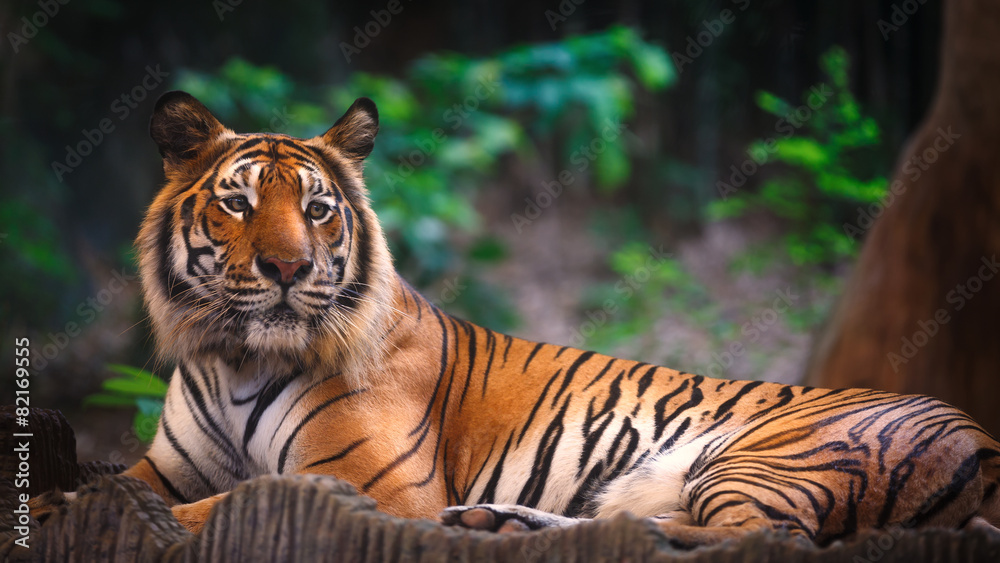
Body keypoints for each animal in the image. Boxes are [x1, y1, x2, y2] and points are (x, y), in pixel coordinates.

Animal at [103, 90, 1000, 546]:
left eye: (319, 210)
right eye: (238, 203)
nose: (287, 270)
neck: (236, 356)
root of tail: (985, 437)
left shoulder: (372, 486)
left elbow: (221, 500)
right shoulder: (167, 466)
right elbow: (125, 484)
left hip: (768, 459)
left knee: (757, 539)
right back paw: (498, 518)